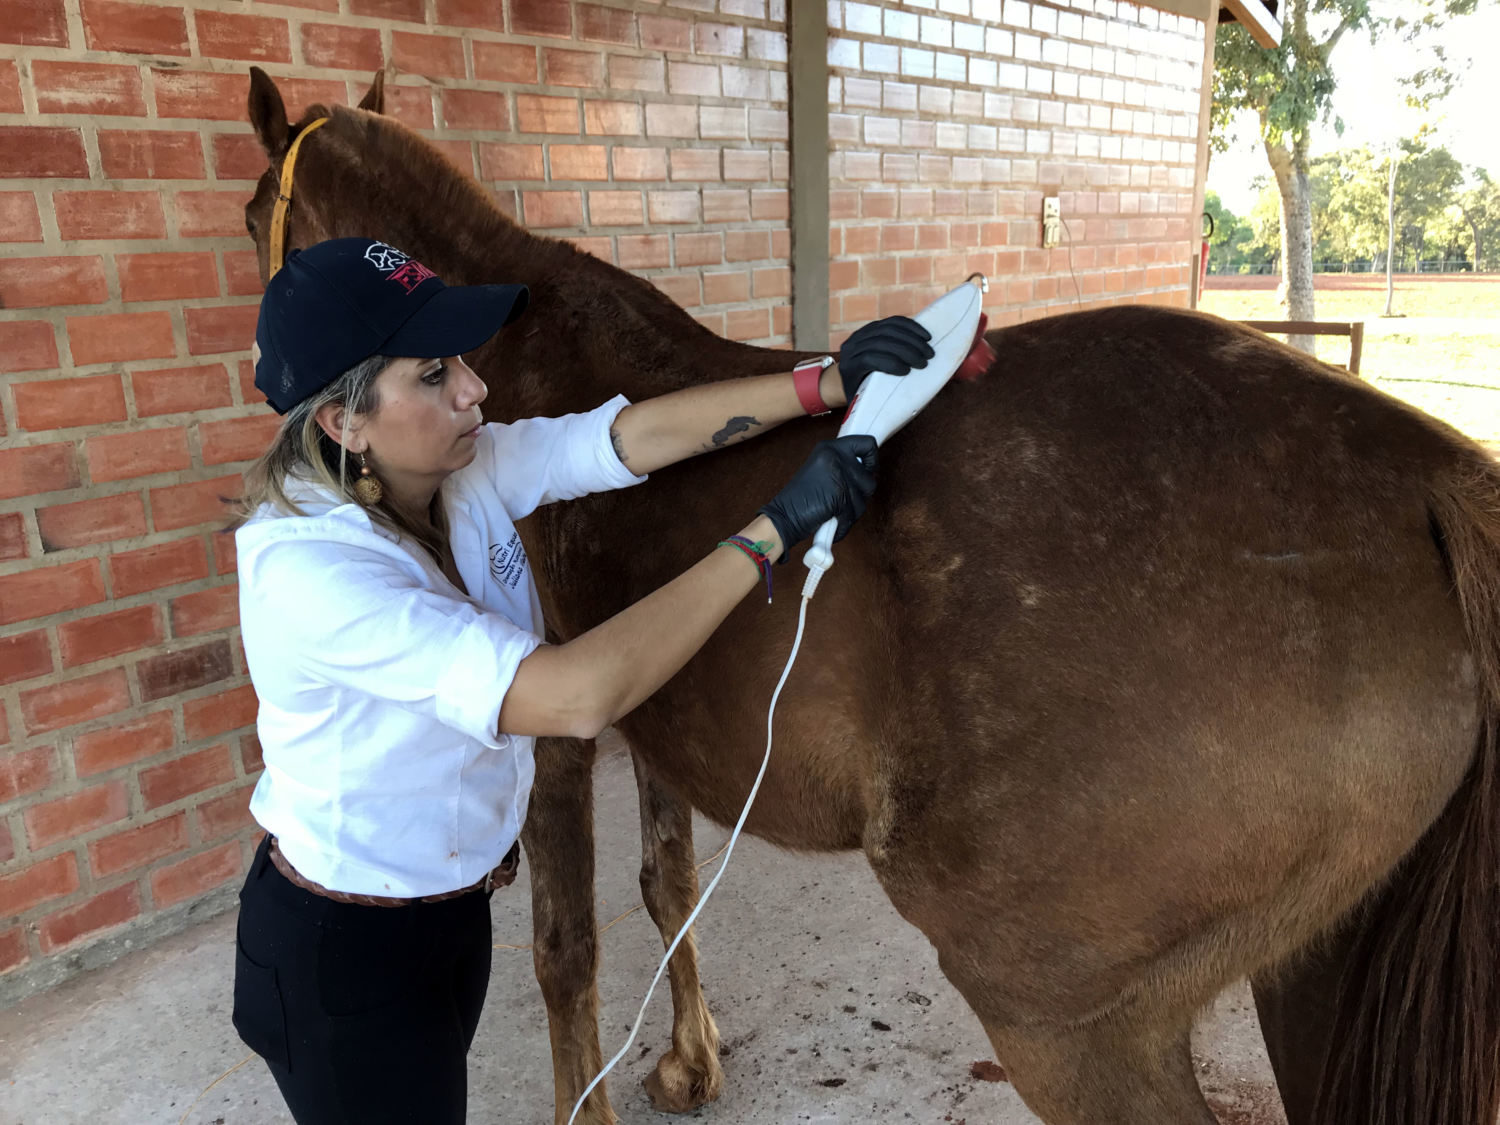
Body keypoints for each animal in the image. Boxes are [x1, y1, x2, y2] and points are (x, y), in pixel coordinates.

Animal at [243, 72, 1500, 1125]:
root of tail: (1423, 478)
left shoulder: (560, 741)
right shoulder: (655, 721)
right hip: (1312, 973)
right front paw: (690, 1064)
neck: (513, 344)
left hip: (1071, 1022)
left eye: (256, 209)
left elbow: (566, 951)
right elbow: (668, 884)